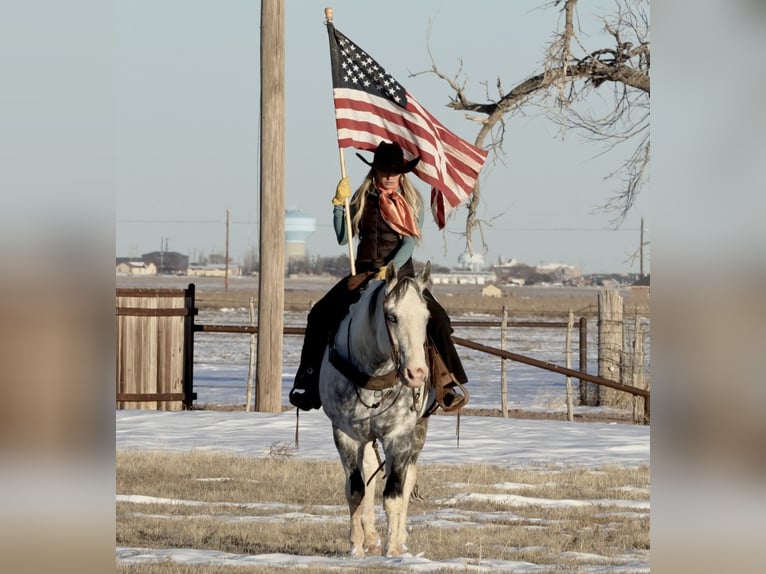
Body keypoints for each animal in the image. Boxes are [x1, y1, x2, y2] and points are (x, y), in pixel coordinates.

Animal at [320, 260, 438, 560]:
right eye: (392, 317)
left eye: (426, 318)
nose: (417, 373)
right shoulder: (345, 435)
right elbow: (355, 489)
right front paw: (357, 546)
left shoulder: (399, 435)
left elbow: (394, 493)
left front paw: (393, 548)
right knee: (370, 472)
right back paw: (371, 536)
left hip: (419, 430)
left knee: (408, 478)